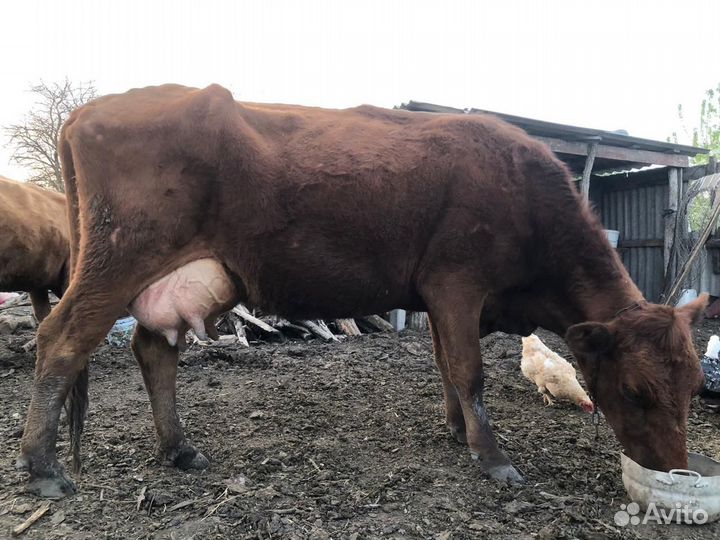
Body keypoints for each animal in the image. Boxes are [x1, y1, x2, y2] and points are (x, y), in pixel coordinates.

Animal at [17, 84, 707, 497]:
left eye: (694, 385)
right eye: (637, 391)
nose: (675, 467)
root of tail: (89, 111)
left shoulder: (438, 296)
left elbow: (445, 366)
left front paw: (457, 430)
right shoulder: (457, 282)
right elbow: (469, 370)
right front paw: (492, 457)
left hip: (182, 275)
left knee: (154, 350)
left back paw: (179, 450)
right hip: (117, 262)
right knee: (61, 340)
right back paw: (44, 469)